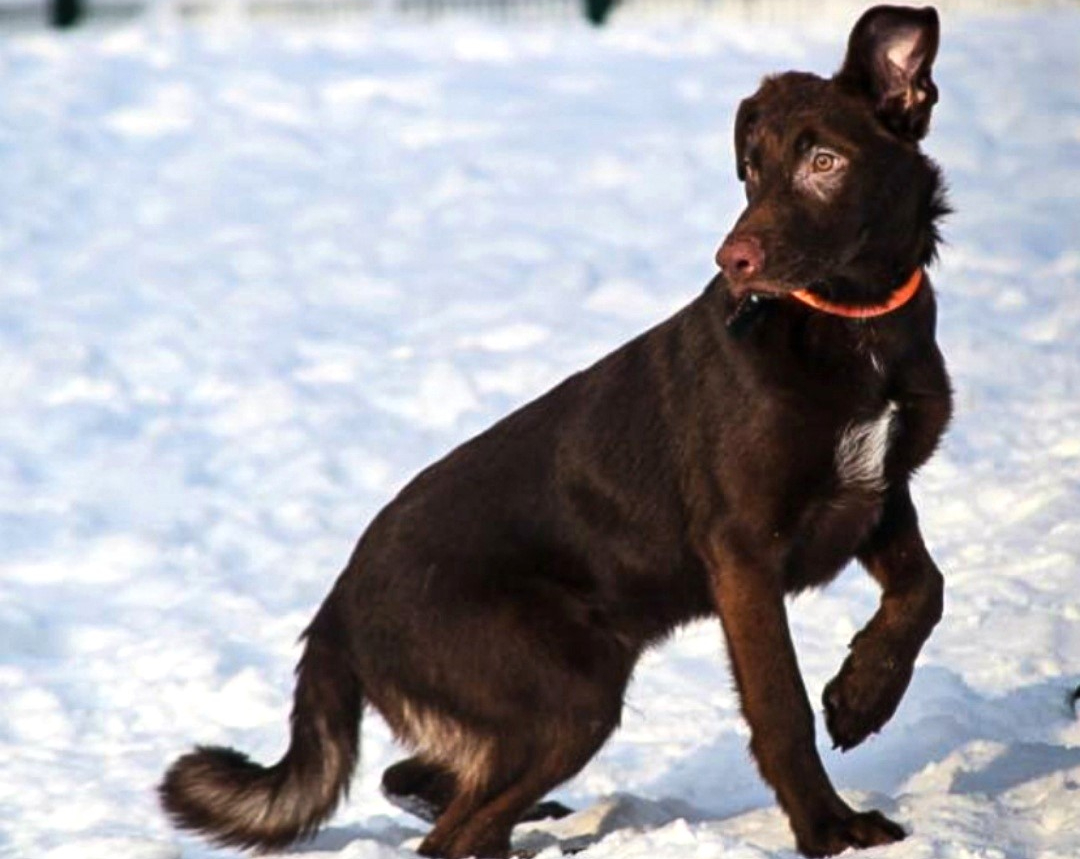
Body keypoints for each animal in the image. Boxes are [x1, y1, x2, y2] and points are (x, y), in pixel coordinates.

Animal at [159, 8, 954, 859]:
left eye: (824, 162)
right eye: (751, 170)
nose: (733, 259)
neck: (852, 326)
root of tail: (336, 605)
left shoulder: (879, 491)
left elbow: (924, 588)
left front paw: (863, 694)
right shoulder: (744, 552)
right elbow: (781, 708)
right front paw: (830, 829)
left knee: (430, 785)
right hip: (569, 694)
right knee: (452, 829)